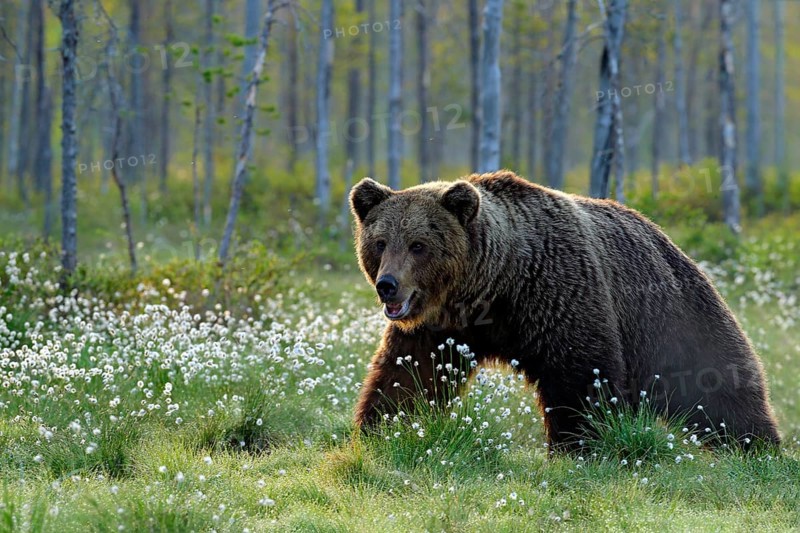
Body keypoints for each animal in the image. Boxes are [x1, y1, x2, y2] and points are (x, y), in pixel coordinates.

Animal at [349, 170, 780, 450]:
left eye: (419, 245)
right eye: (381, 242)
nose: (388, 285)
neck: (492, 286)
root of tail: (663, 235)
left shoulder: (557, 292)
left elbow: (580, 374)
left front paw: (580, 444)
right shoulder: (439, 326)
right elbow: (408, 375)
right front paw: (382, 429)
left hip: (675, 315)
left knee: (717, 381)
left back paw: (756, 444)